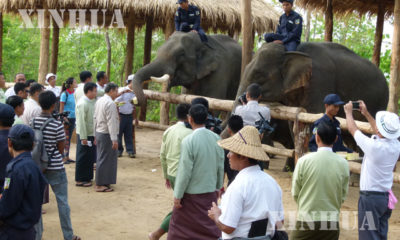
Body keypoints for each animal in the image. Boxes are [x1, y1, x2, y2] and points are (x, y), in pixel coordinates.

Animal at [234, 42, 388, 172]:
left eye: (259, 75)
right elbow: (294, 124)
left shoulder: (319, 81)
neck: (294, 51)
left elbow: (315, 119)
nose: (244, 98)